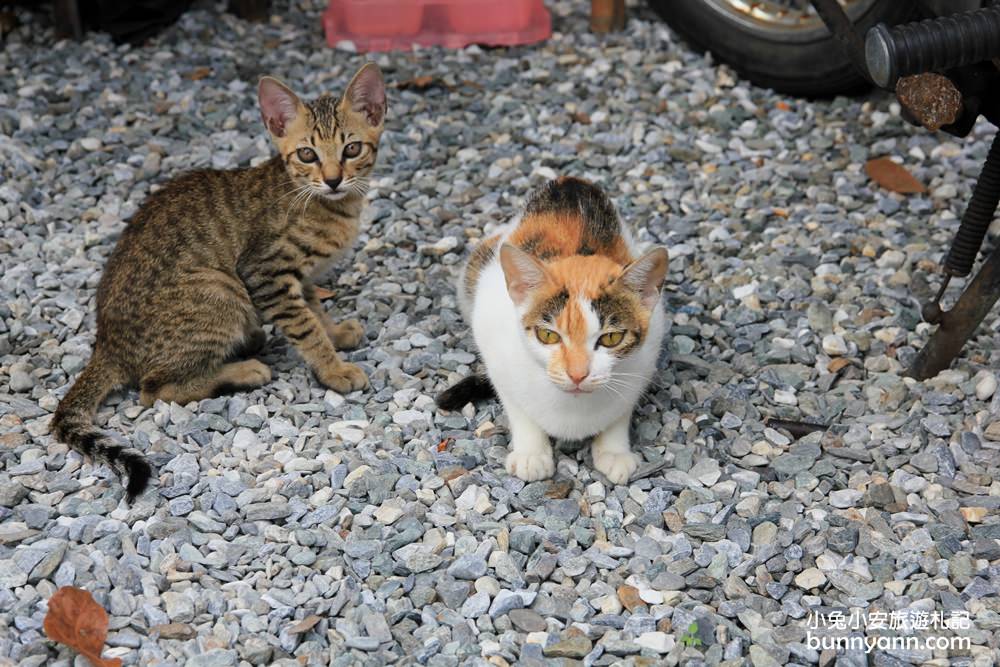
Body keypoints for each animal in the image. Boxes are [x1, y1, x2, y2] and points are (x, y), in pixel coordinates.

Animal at [50, 64, 388, 500]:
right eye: (307, 154)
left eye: (352, 149)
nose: (332, 179)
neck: (323, 203)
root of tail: (106, 345)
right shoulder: (265, 271)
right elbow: (305, 326)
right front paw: (333, 369)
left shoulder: (300, 277)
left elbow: (313, 309)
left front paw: (336, 333)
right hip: (220, 290)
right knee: (153, 389)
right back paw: (242, 371)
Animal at [440, 179, 668, 486]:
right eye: (548, 336)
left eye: (611, 338)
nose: (577, 375)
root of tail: (570, 181)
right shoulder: (492, 336)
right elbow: (516, 405)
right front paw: (531, 453)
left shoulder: (649, 351)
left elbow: (621, 409)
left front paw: (614, 450)